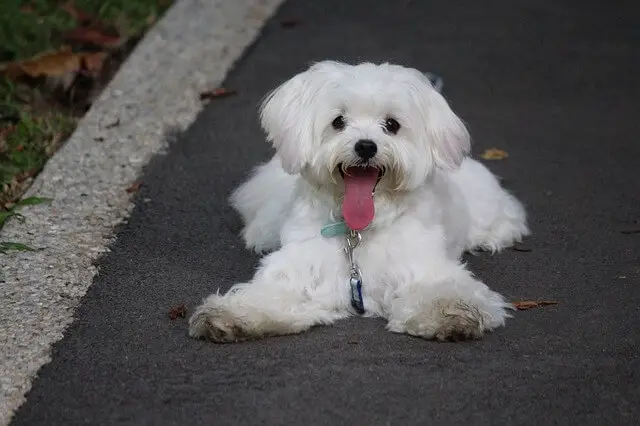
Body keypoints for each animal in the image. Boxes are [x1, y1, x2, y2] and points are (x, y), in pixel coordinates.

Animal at [188, 60, 528, 342]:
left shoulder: (420, 266)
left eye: (392, 125)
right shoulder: (303, 270)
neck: (358, 230)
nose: (366, 146)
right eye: (338, 121)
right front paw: (233, 315)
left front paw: (450, 314)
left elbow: (439, 291)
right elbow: (271, 295)